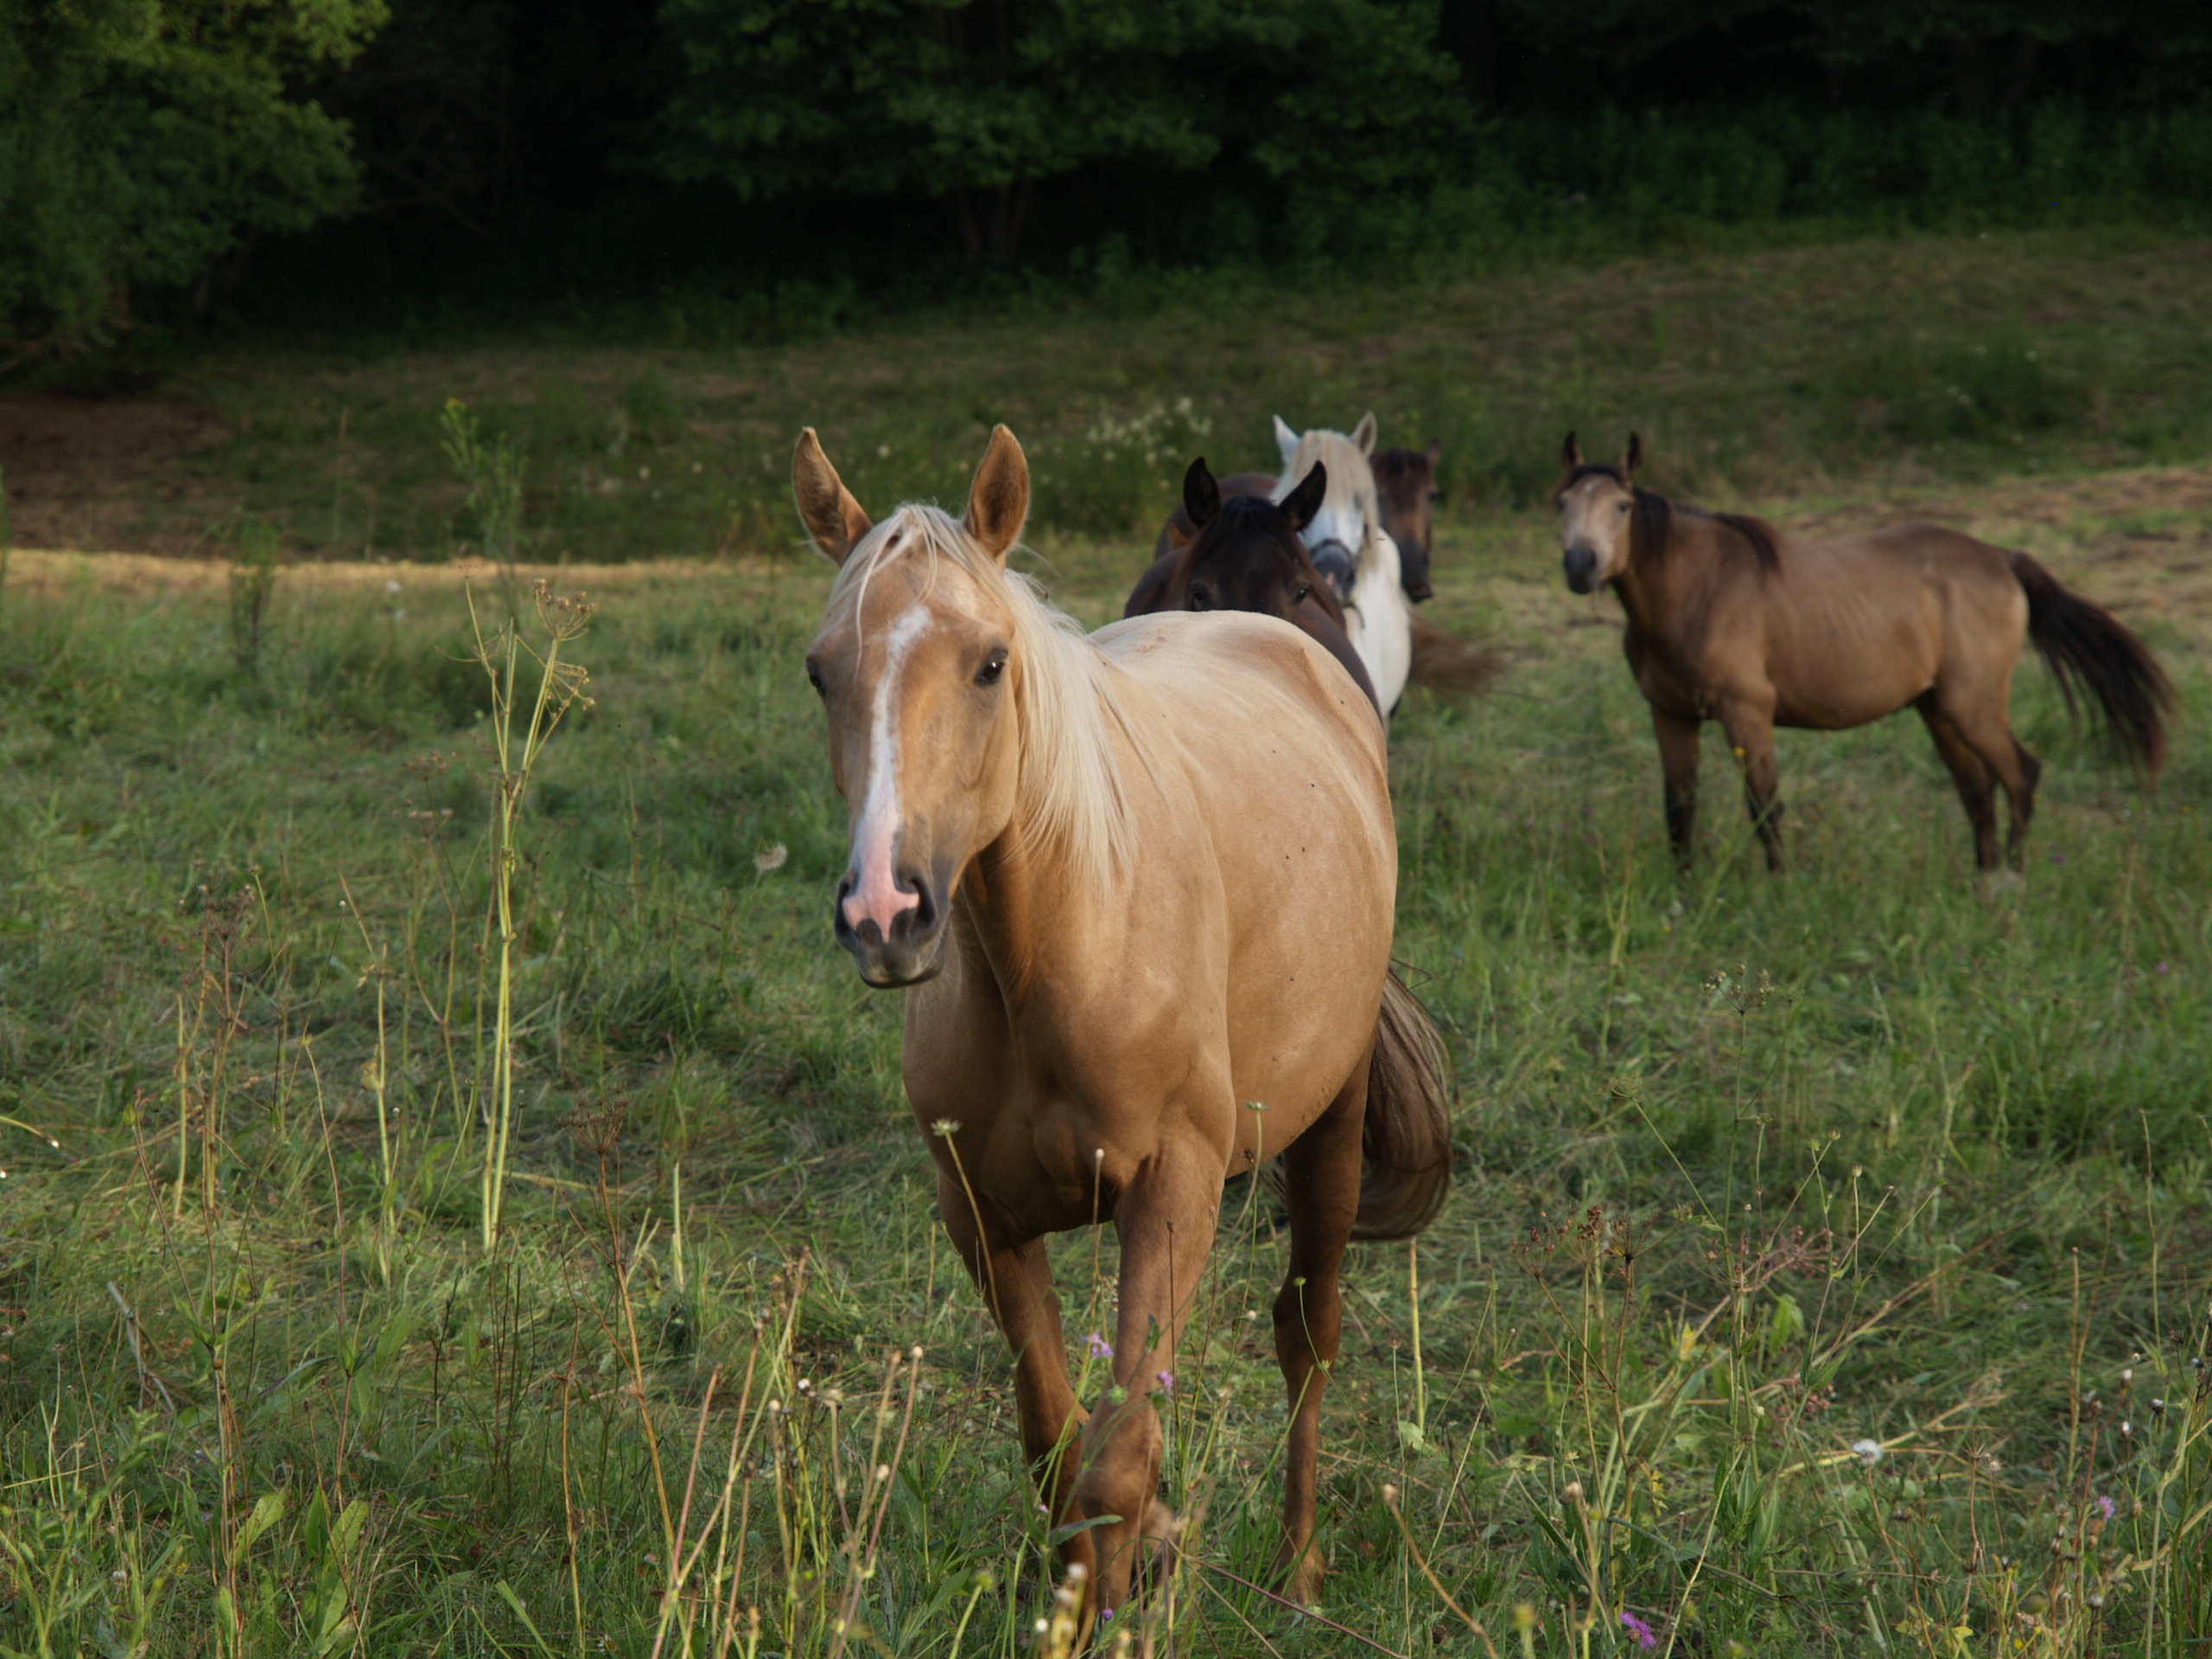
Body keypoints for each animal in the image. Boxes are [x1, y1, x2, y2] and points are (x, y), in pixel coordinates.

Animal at [1566, 435, 2167, 875]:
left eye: (1622, 506)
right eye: (1562, 503)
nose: (1579, 565)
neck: (1697, 588)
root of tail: (2004, 558)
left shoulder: (1747, 712)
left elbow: (1764, 806)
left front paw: (1779, 888)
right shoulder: (1671, 715)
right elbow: (1679, 809)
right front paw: (1683, 889)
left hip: (1973, 706)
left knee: (2020, 775)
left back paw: (2012, 882)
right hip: (1937, 709)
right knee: (1977, 790)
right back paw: (1984, 882)